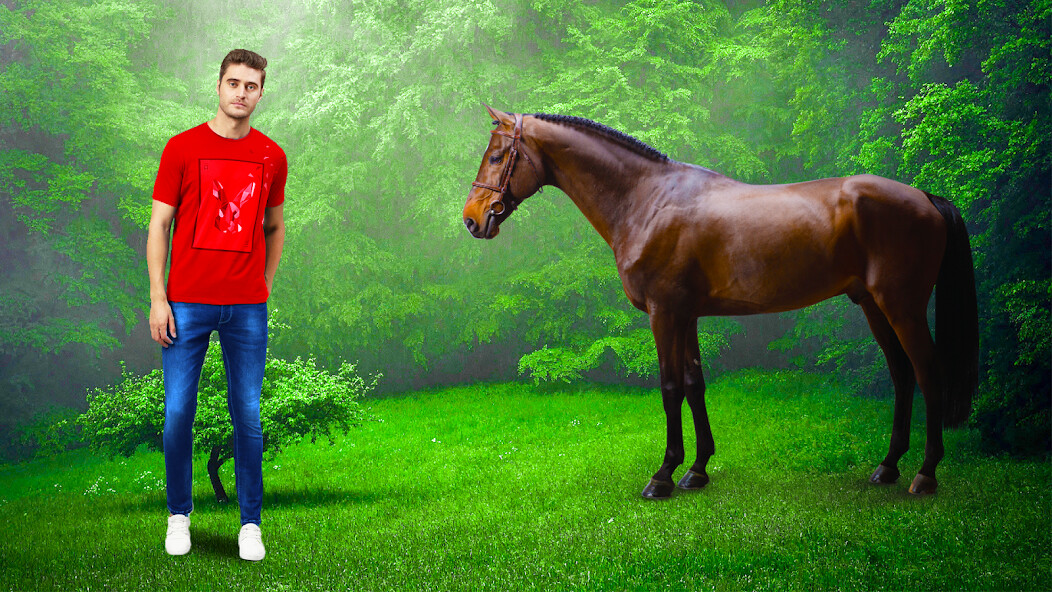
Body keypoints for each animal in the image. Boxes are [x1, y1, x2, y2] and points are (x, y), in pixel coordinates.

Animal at [462, 106, 978, 498]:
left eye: (497, 156)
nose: (471, 219)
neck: (646, 200)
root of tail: (925, 197)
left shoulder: (664, 314)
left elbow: (670, 388)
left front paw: (663, 475)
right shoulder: (686, 314)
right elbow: (695, 384)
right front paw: (697, 469)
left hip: (902, 306)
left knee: (928, 374)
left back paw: (924, 475)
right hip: (873, 306)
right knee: (902, 375)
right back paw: (887, 466)